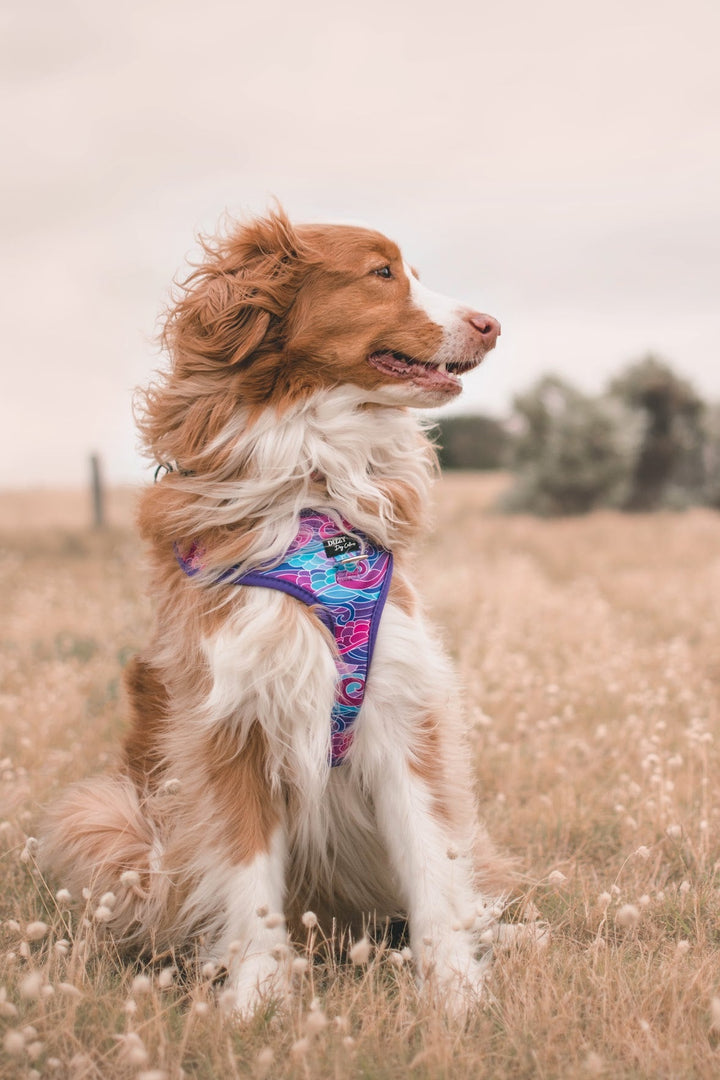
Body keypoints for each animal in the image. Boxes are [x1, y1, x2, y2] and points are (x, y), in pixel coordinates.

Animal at [42, 206, 509, 1015]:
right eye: (381, 273)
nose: (492, 324)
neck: (315, 476)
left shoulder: (402, 708)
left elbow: (432, 868)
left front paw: (455, 993)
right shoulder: (230, 722)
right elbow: (248, 878)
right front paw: (255, 1002)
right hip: (105, 815)